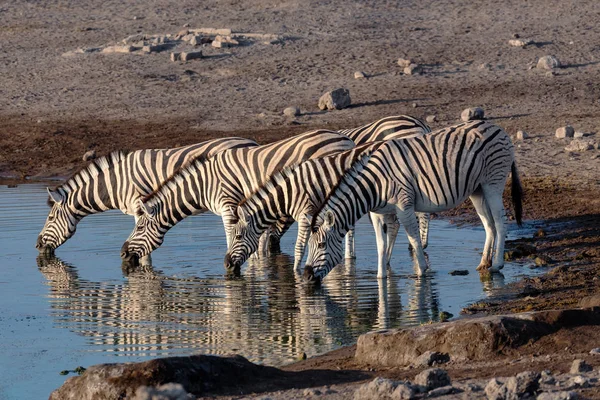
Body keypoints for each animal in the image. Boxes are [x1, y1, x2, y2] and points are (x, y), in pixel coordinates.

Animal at [119, 130, 358, 270]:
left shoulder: (228, 205)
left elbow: (231, 236)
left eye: (139, 228)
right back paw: (349, 259)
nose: (122, 253)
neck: (204, 183)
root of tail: (347, 140)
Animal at [225, 141, 432, 272]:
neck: (289, 192)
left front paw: (296, 272)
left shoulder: (305, 214)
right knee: (395, 225)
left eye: (238, 236)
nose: (226, 264)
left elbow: (299, 247)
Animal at [302, 120, 524, 282]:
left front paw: (421, 271)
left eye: (321, 245)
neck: (374, 184)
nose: (306, 276)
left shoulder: (404, 205)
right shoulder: (378, 212)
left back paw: (496, 265)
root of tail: (497, 127)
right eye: (311, 246)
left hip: (493, 182)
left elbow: (414, 238)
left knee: (500, 222)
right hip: (477, 189)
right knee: (489, 224)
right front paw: (381, 277)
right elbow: (381, 243)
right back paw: (484, 263)